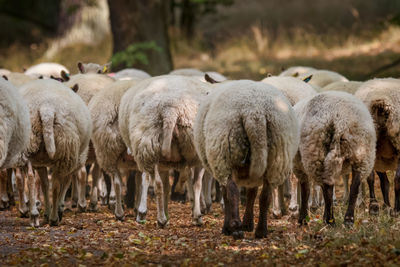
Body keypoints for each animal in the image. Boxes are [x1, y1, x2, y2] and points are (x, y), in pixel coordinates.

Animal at [20, 79, 92, 226]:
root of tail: (46, 108)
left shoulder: (41, 163)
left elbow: (44, 185)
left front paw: (47, 212)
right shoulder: (74, 160)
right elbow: (66, 182)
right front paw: (59, 209)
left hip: (29, 144)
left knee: (30, 178)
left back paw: (34, 215)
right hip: (65, 148)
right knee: (56, 185)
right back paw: (54, 218)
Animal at [119, 75, 211, 228]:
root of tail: (170, 109)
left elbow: (155, 183)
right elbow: (187, 185)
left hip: (149, 147)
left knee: (157, 184)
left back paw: (159, 218)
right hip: (183, 149)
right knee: (191, 183)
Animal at [194, 79, 300, 239]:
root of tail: (254, 113)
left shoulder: (220, 169)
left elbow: (226, 195)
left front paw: (228, 227)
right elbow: (252, 193)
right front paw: (248, 224)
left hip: (225, 154)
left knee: (233, 192)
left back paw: (236, 227)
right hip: (275, 157)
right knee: (265, 196)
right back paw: (261, 230)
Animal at [292, 91, 376, 226]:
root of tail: (339, 119)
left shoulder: (298, 164)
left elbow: (305, 190)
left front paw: (303, 219)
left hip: (315, 152)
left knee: (327, 187)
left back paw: (330, 220)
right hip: (361, 153)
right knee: (354, 186)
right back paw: (348, 219)